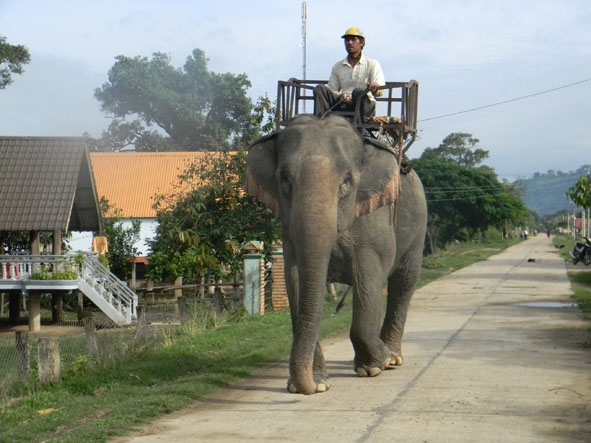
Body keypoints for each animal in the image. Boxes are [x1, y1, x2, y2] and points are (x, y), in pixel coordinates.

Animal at [247, 115, 428, 396]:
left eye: (347, 182)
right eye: (285, 180)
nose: (309, 387)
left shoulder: (373, 221)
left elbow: (369, 275)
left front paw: (376, 366)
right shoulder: (289, 235)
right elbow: (295, 280)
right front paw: (315, 384)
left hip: (419, 224)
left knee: (404, 281)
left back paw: (394, 357)